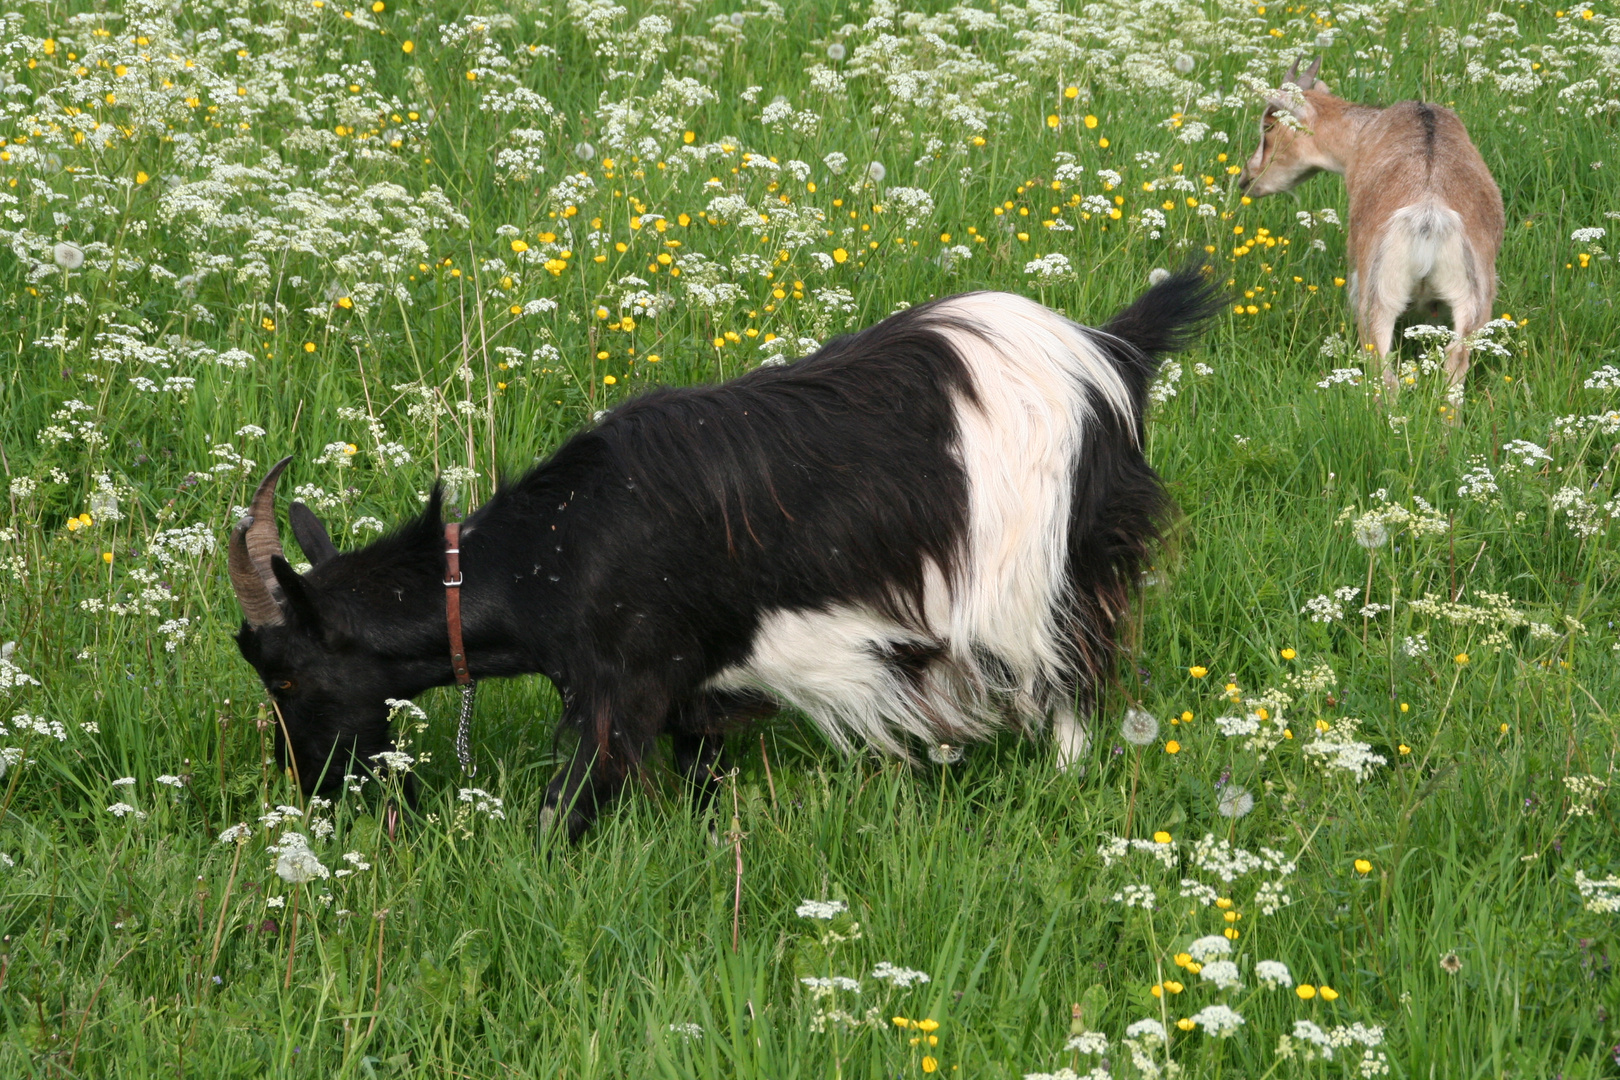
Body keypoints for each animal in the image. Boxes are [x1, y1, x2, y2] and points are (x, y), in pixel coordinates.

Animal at [228, 265, 1218, 841]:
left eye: (287, 674)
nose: (314, 791)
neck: (559, 552)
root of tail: (1110, 352)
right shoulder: (692, 686)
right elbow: (703, 777)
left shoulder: (618, 689)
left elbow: (567, 812)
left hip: (1048, 574)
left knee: (1074, 686)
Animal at [1237, 57, 1503, 395]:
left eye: (1269, 126)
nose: (1246, 179)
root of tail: (1428, 215)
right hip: (1474, 300)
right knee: (1454, 364)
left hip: (1375, 297)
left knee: (1385, 376)